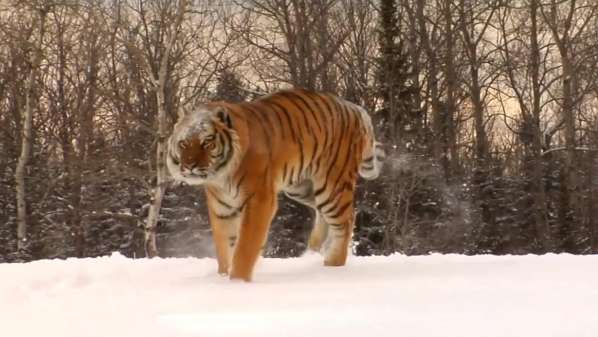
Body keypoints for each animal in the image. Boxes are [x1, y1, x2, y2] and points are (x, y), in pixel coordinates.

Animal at [166, 88, 386, 280]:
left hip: (333, 185)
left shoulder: (259, 200)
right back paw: (313, 252)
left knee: (346, 219)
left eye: (207, 143)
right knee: (327, 214)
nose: (190, 166)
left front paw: (237, 282)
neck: (221, 176)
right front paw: (222, 277)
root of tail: (357, 110)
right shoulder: (222, 209)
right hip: (302, 188)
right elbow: (225, 247)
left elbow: (245, 248)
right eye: (184, 143)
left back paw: (332, 264)